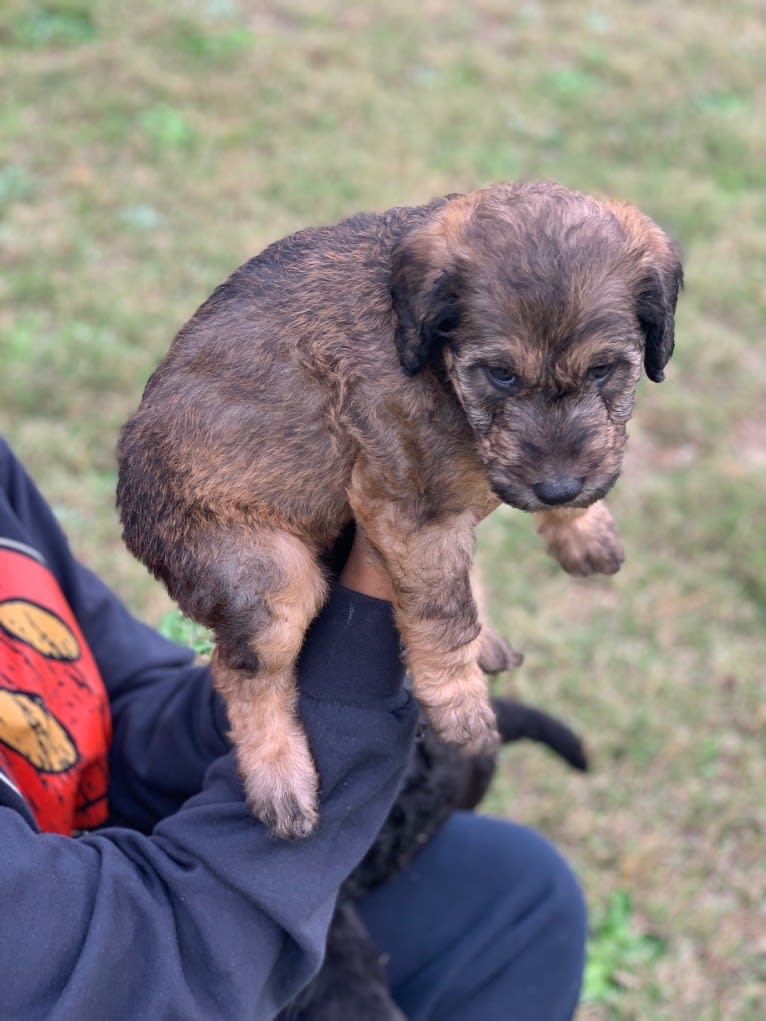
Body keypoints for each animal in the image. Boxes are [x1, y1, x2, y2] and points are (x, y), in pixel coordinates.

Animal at [115, 181, 682, 837]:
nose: (560, 488)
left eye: (604, 369)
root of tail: (129, 512)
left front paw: (582, 529)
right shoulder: (412, 508)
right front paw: (459, 706)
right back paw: (279, 779)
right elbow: (443, 614)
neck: (434, 358)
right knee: (239, 671)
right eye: (501, 374)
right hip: (268, 579)